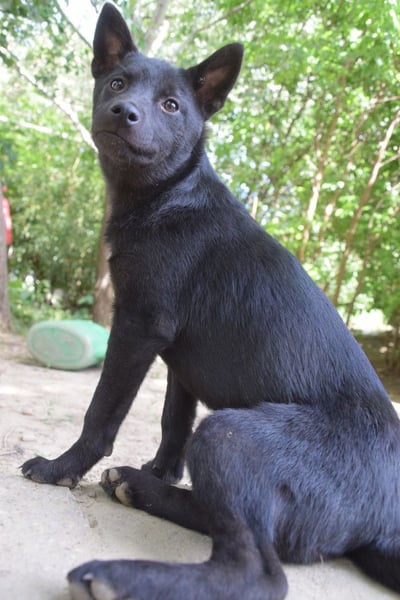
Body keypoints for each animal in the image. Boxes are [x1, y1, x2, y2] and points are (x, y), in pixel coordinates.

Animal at [22, 3, 400, 599]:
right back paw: (141, 489)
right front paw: (157, 472)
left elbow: (101, 412)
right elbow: (172, 424)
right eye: (117, 83)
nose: (123, 112)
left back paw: (116, 575)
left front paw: (61, 469)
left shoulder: (138, 326)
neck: (167, 196)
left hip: (229, 433)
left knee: (258, 573)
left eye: (171, 105)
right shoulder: (180, 358)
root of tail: (382, 525)